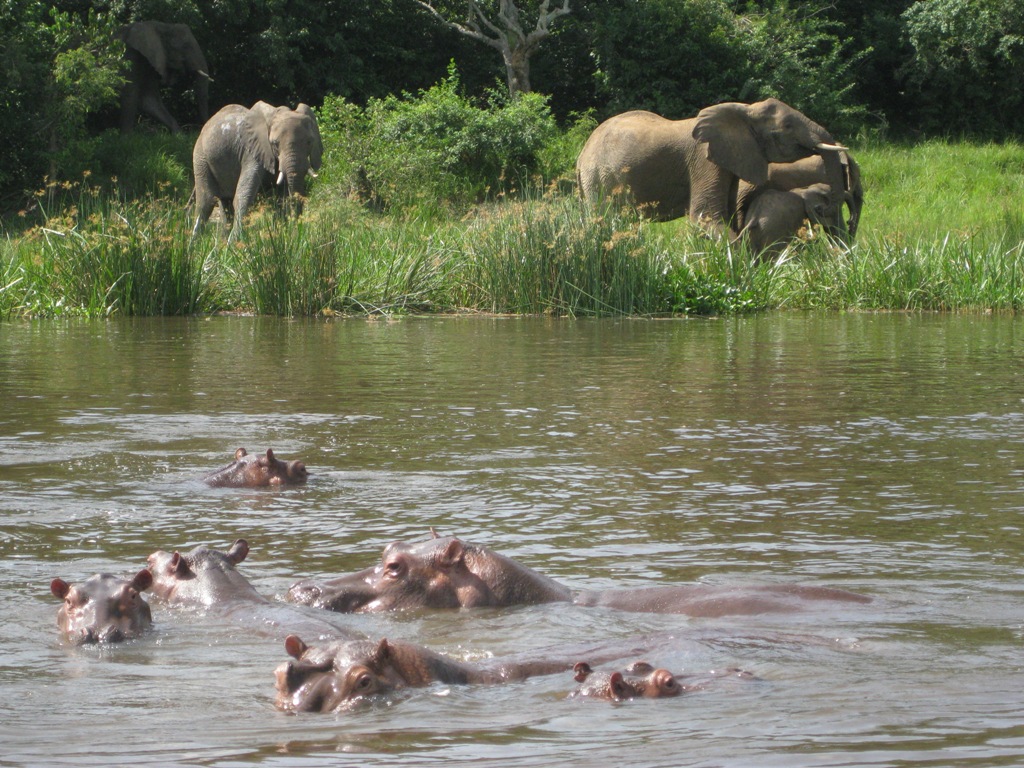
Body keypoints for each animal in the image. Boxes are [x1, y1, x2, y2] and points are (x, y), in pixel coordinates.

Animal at [190, 100, 321, 240]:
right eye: (275, 143)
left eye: (309, 142)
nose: (297, 232)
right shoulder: (252, 152)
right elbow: (244, 196)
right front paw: (234, 243)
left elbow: (280, 199)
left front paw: (281, 236)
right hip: (200, 156)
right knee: (206, 202)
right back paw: (195, 243)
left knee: (225, 204)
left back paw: (221, 241)